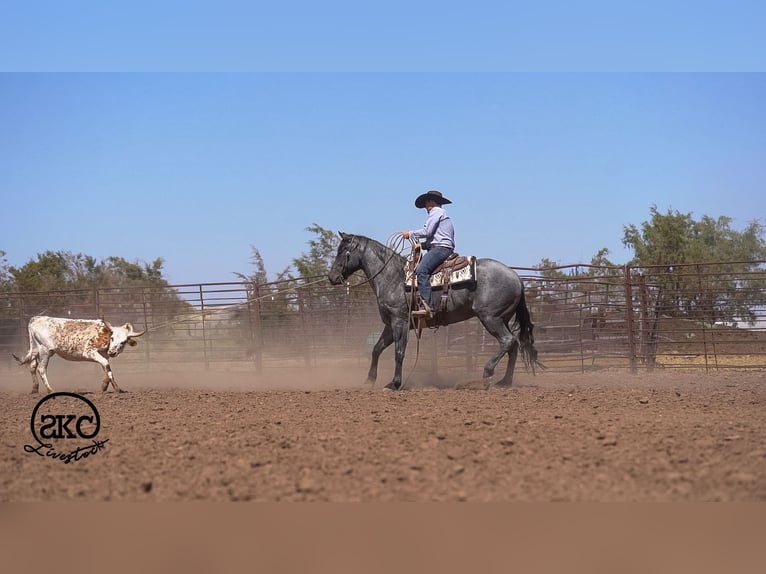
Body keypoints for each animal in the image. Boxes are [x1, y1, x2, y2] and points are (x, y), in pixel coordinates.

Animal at [327, 232, 541, 390]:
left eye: (344, 251)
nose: (332, 277)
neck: (393, 277)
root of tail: (516, 277)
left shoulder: (400, 322)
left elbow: (399, 352)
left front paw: (394, 383)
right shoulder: (390, 324)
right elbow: (376, 349)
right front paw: (369, 381)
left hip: (490, 318)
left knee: (507, 341)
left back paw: (486, 374)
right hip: (502, 318)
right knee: (513, 345)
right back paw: (504, 382)